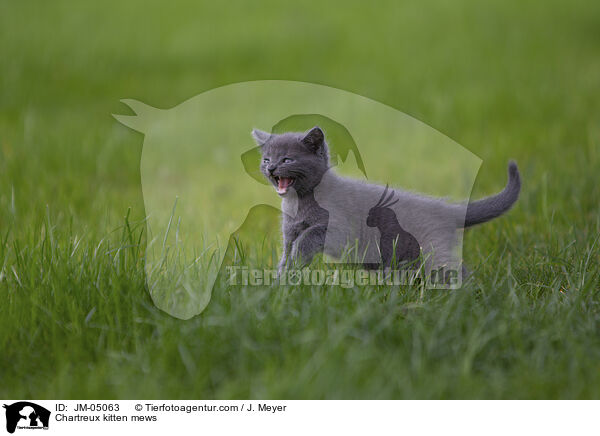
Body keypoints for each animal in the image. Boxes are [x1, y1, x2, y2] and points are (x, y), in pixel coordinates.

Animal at [253, 125, 520, 280]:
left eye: (287, 159)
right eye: (266, 159)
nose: (272, 167)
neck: (298, 203)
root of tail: (445, 209)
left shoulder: (340, 227)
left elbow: (310, 236)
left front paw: (296, 263)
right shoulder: (289, 232)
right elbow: (287, 251)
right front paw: (282, 279)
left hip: (432, 247)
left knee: (453, 269)